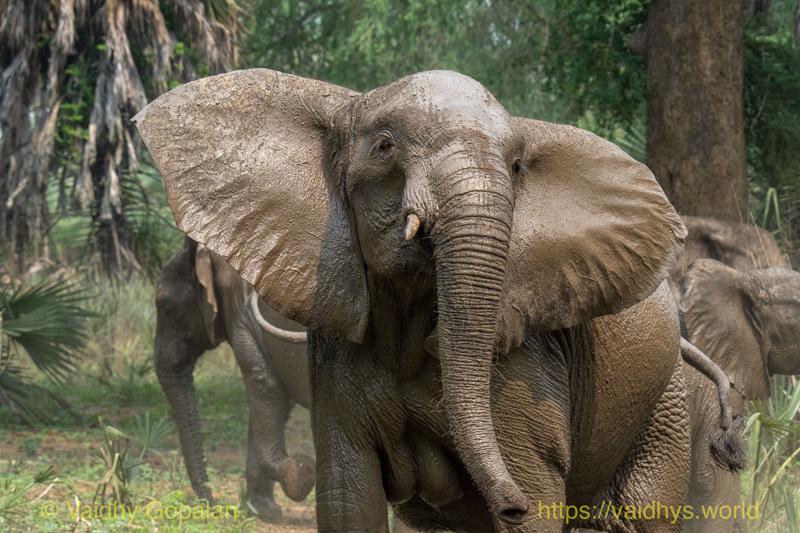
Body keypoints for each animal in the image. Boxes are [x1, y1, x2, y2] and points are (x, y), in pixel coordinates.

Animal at [154, 236, 314, 520]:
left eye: (166, 308)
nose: (211, 504)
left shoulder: (243, 315)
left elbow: (264, 384)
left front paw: (302, 474)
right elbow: (274, 398)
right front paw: (263, 510)